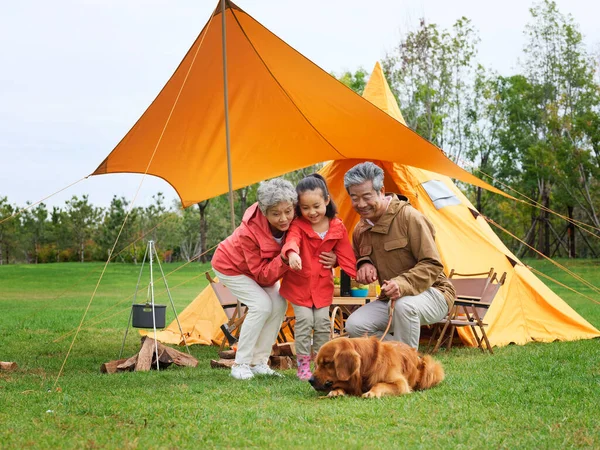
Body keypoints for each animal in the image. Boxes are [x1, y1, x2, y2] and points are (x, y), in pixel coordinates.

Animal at [312, 338, 442, 398]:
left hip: (431, 369)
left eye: (326, 363)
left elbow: (379, 384)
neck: (367, 366)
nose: (310, 380)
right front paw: (336, 391)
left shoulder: (401, 384)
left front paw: (372, 392)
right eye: (317, 363)